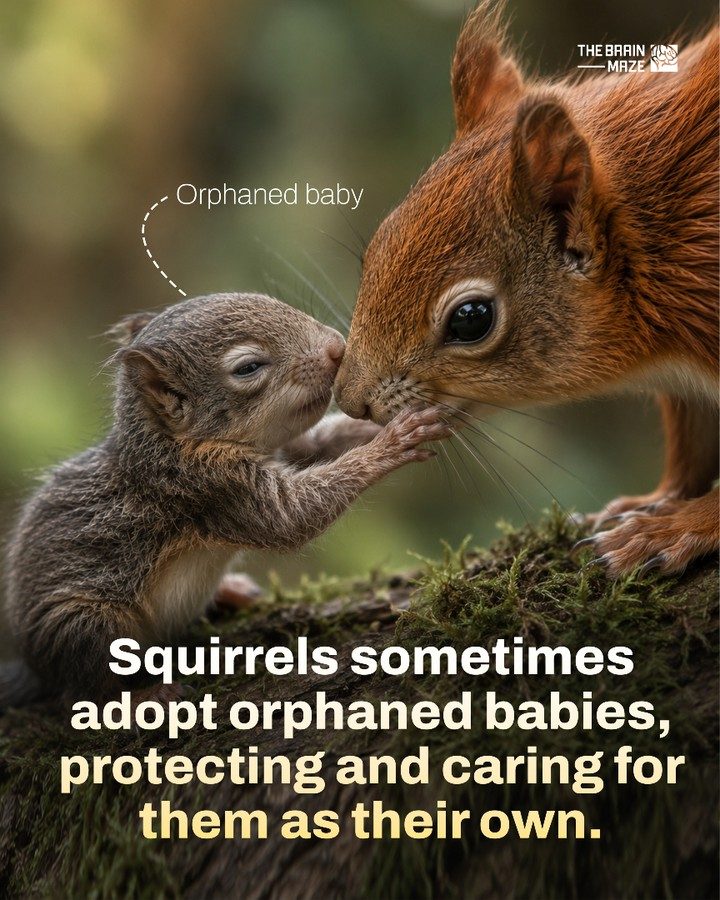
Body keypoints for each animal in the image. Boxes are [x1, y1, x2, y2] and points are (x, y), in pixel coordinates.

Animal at [2, 292, 450, 706]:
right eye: (248, 367)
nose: (337, 347)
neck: (174, 444)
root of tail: (32, 666)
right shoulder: (211, 487)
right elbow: (291, 516)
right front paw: (392, 443)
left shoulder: (283, 450)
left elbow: (322, 442)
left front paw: (418, 415)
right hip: (83, 625)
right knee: (86, 689)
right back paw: (149, 696)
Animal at [334, 2, 719, 578]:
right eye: (378, 243)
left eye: (471, 318)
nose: (348, 400)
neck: (657, 247)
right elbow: (693, 440)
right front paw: (657, 501)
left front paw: (668, 530)